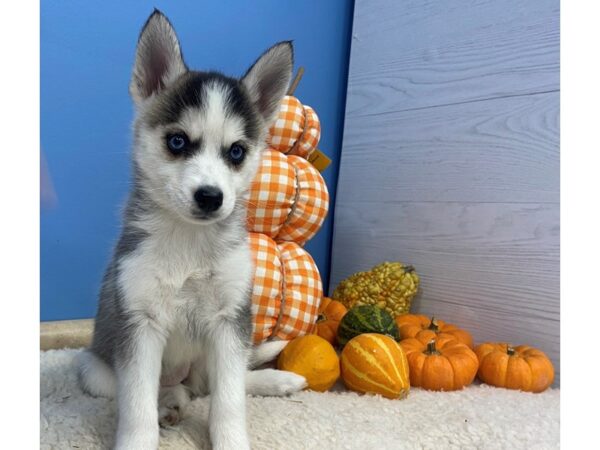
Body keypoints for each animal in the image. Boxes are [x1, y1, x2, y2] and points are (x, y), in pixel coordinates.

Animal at [77, 10, 308, 450]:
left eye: (236, 151)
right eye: (177, 142)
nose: (210, 197)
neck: (189, 243)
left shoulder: (229, 322)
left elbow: (229, 401)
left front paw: (232, 441)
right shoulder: (140, 324)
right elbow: (137, 407)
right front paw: (139, 438)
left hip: (212, 356)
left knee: (219, 385)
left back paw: (276, 379)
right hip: (95, 370)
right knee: (169, 391)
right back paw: (170, 404)